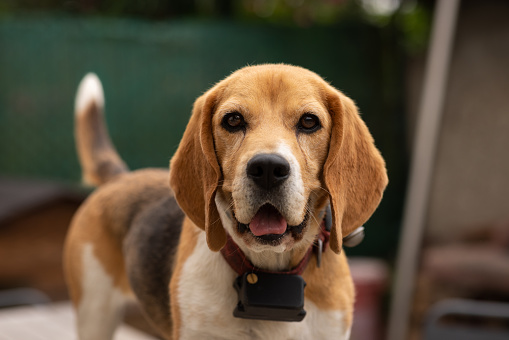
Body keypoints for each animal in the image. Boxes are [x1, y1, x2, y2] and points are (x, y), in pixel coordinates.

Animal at [65, 63, 386, 338]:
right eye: (233, 120)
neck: (269, 272)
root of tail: (121, 178)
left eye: (309, 122)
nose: (267, 168)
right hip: (95, 312)